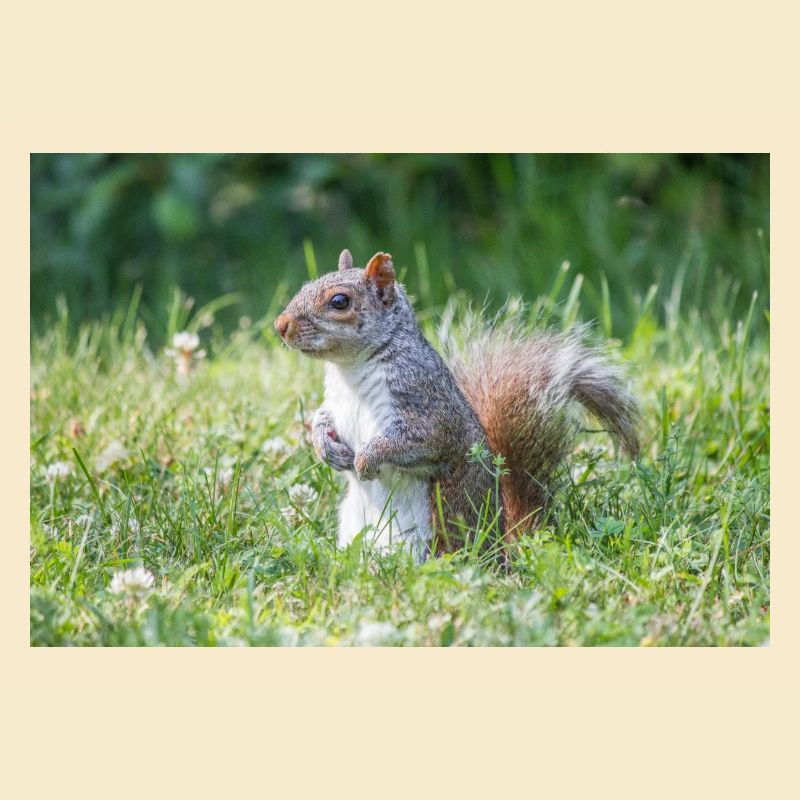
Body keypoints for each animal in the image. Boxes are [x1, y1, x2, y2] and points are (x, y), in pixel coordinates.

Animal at [275, 249, 639, 562]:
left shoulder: (427, 403)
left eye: (340, 301)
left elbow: (420, 439)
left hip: (429, 541)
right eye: (306, 285)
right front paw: (325, 447)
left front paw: (366, 459)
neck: (349, 369)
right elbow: (322, 418)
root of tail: (500, 550)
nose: (280, 325)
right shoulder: (335, 402)